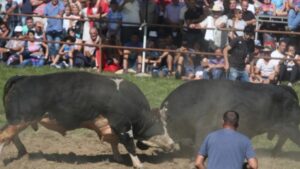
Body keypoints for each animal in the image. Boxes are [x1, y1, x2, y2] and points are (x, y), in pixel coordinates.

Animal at [0, 72, 175, 168]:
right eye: (161, 126)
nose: (173, 144)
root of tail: (22, 78)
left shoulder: (111, 127)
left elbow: (114, 143)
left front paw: (118, 157)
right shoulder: (122, 125)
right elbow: (130, 145)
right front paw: (138, 164)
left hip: (18, 121)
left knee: (12, 137)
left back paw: (23, 153)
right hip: (20, 119)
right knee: (4, 136)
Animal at [162, 80, 300, 154]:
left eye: (165, 124)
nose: (167, 145)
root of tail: (284, 89)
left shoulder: (203, 129)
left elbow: (199, 145)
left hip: (290, 126)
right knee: (283, 138)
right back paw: (274, 152)